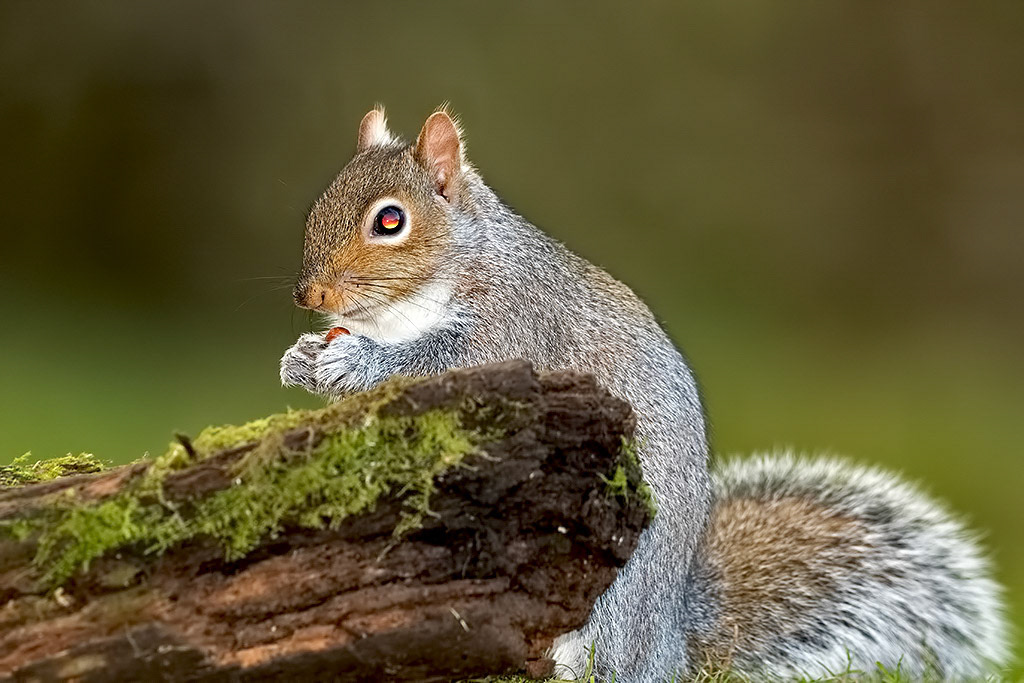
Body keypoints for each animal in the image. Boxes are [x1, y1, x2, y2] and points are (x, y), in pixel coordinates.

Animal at [280, 107, 1009, 681]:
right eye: (317, 205)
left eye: (391, 221)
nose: (310, 297)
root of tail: (666, 649)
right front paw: (302, 359)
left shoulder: (512, 328)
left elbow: (441, 360)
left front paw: (352, 360)